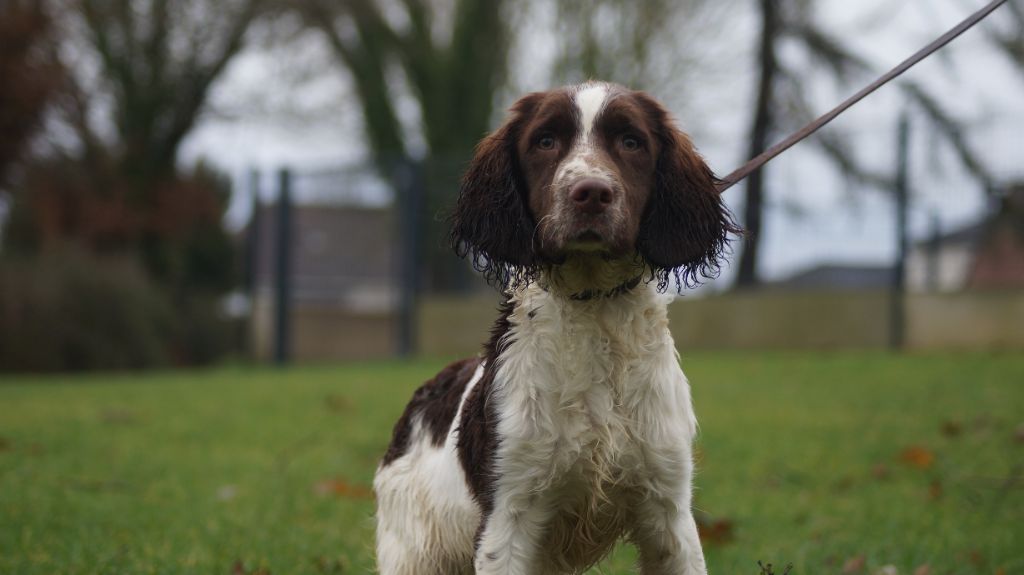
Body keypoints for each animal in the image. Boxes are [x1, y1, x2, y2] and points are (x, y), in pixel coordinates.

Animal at [374, 81, 737, 572]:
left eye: (631, 142)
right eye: (545, 141)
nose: (592, 193)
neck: (593, 308)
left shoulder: (668, 508)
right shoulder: (508, 513)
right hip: (412, 550)